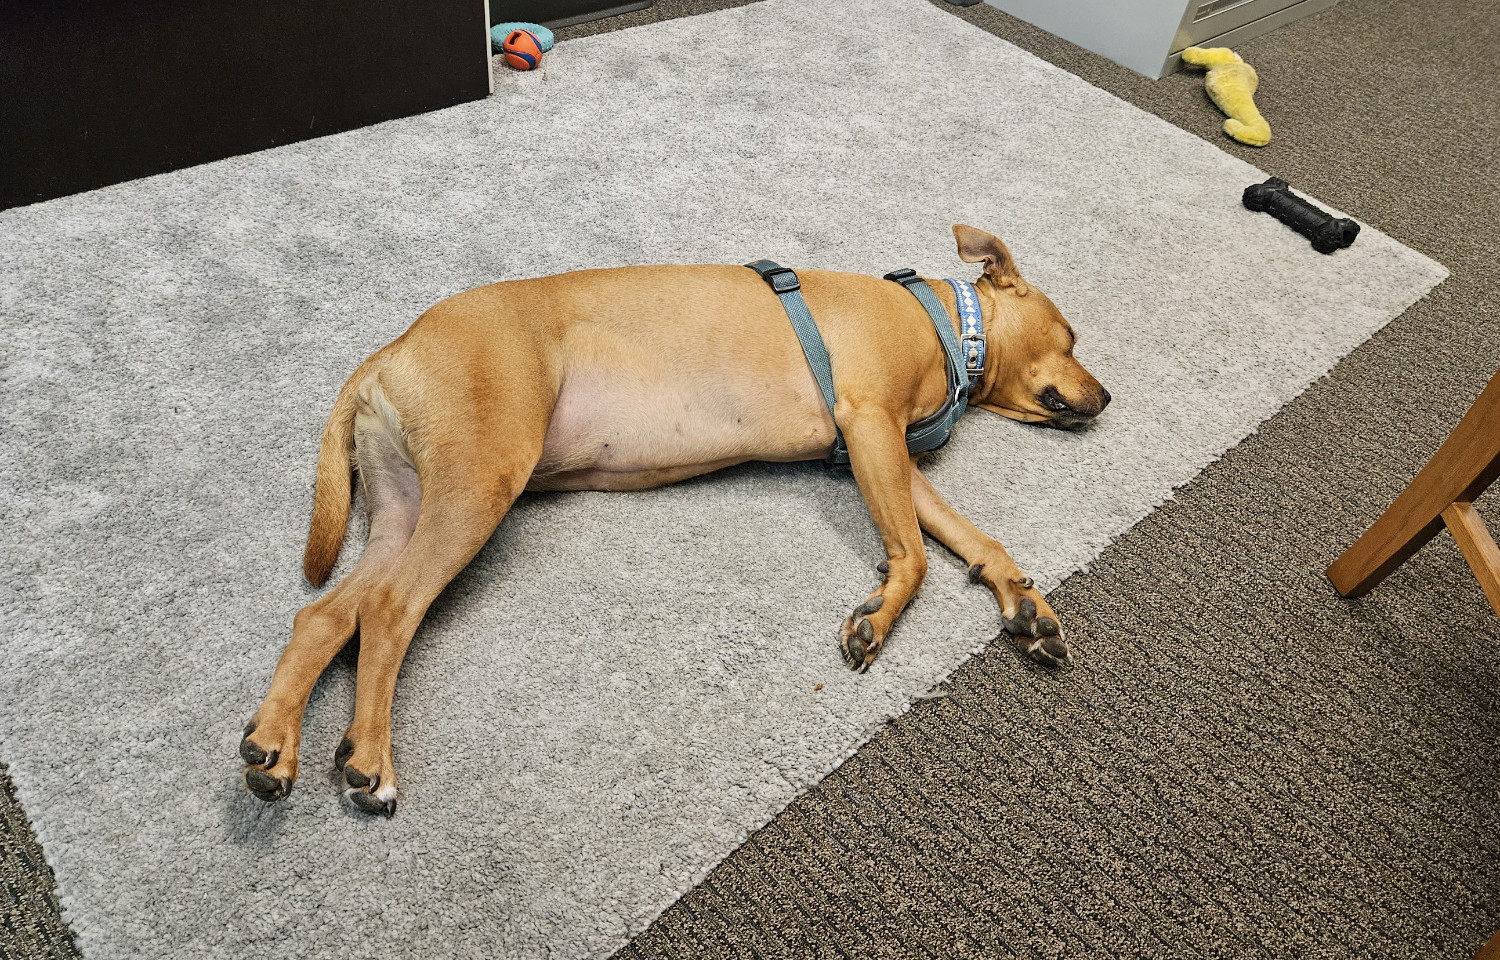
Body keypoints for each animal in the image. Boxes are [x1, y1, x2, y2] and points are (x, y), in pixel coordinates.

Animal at [240, 223, 1110, 810]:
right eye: (1070, 337)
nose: (1106, 398)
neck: (943, 323)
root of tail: (393, 348)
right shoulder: (869, 427)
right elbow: (919, 556)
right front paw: (878, 619)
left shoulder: (892, 456)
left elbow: (972, 537)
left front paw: (1025, 602)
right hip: (478, 484)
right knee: (389, 613)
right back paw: (371, 761)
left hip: (406, 507)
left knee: (326, 617)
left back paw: (274, 747)